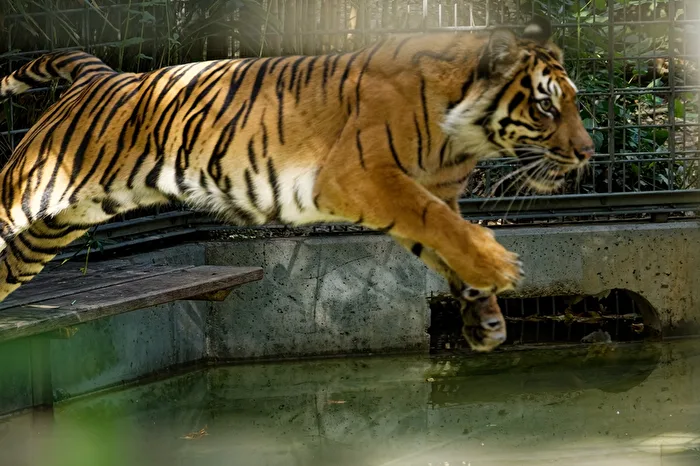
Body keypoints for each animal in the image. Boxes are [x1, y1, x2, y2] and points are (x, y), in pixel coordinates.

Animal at [0, 16, 593, 352]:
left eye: (573, 102)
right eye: (546, 106)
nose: (588, 151)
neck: (461, 136)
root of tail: (100, 73)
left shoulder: (433, 194)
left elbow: (446, 238)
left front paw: (484, 318)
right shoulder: (363, 177)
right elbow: (440, 224)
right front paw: (500, 268)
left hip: (56, 226)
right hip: (28, 193)